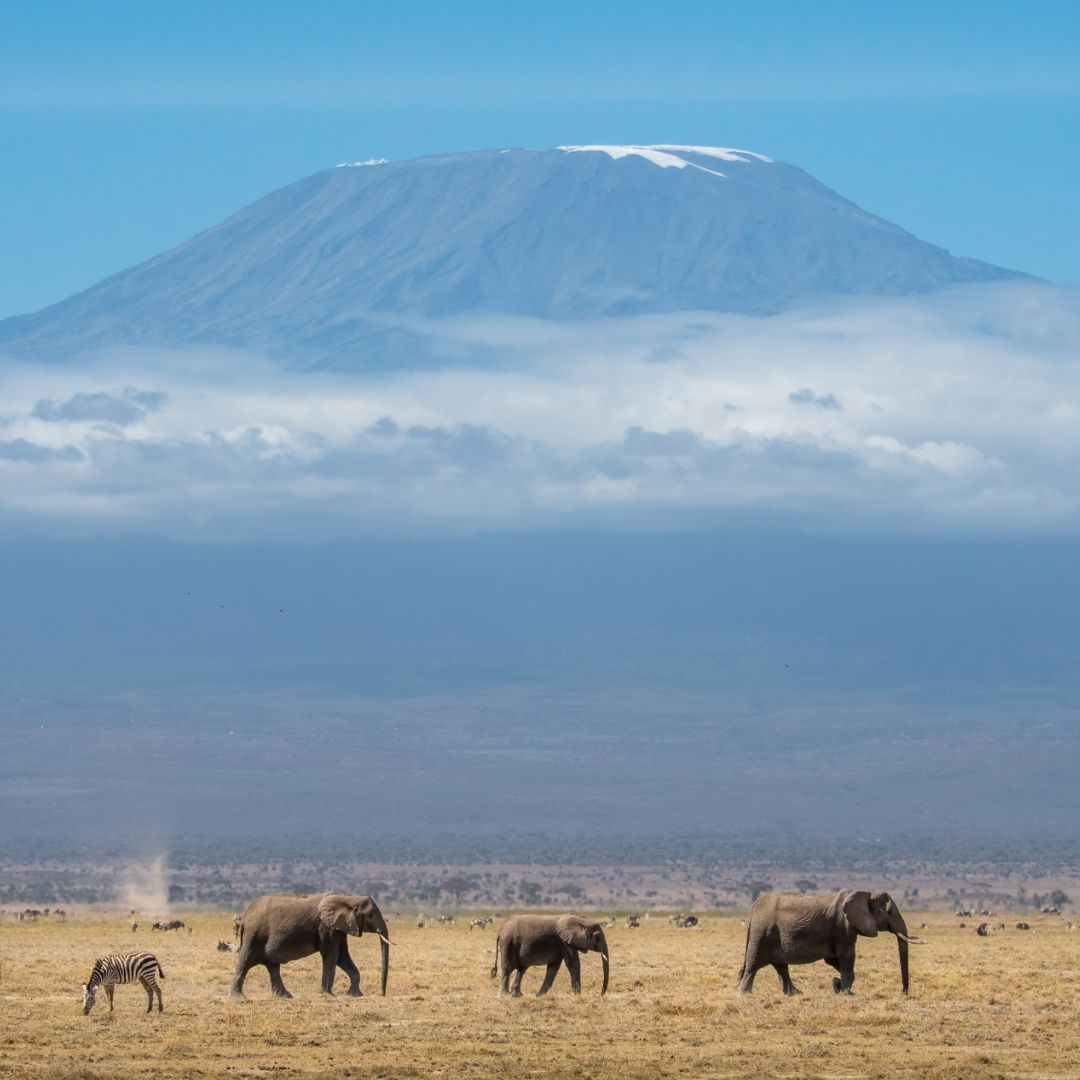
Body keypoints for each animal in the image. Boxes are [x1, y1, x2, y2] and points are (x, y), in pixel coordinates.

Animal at [229, 892, 392, 999]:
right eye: (370, 915)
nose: (382, 994)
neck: (348, 898)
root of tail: (244, 916)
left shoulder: (338, 929)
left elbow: (342, 957)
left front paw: (355, 995)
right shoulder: (326, 927)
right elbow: (331, 955)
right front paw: (328, 995)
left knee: (272, 967)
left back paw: (285, 996)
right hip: (254, 935)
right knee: (245, 962)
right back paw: (238, 997)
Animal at [737, 889, 925, 996]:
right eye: (889, 912)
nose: (904, 993)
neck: (866, 894)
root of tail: (752, 910)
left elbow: (834, 960)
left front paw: (838, 985)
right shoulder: (843, 927)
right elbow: (846, 957)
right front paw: (846, 993)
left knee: (780, 966)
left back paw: (795, 994)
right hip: (762, 933)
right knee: (753, 965)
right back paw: (745, 993)